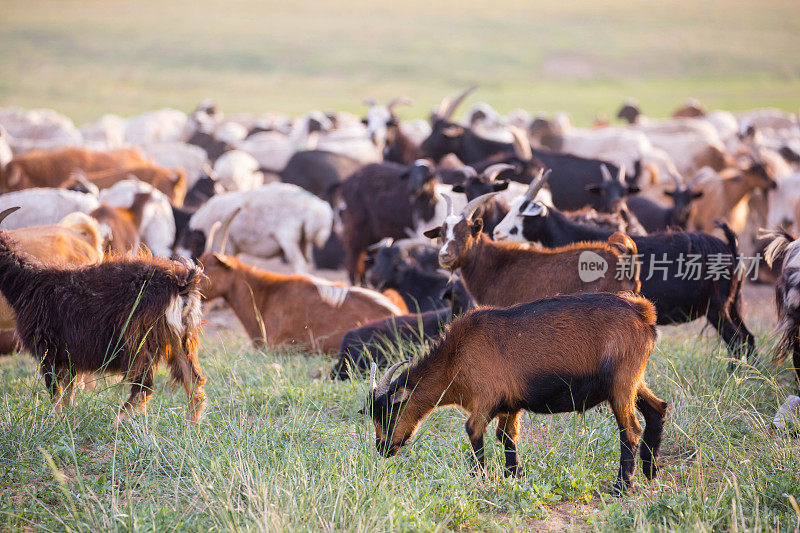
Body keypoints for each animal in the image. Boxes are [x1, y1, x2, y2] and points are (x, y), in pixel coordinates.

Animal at [0, 206, 206, 422]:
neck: (27, 283)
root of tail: (182, 284)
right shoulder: (68, 356)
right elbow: (67, 392)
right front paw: (66, 419)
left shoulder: (48, 349)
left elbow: (56, 391)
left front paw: (55, 420)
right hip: (180, 337)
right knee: (193, 381)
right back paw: (192, 423)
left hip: (138, 340)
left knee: (144, 385)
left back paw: (119, 420)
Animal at [177, 184, 332, 274]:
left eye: (193, 247)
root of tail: (319, 210)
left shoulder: (228, 242)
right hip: (303, 241)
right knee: (305, 263)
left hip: (289, 239)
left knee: (300, 264)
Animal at [366, 288, 664, 492]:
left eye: (388, 413)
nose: (382, 448)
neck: (455, 357)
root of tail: (642, 313)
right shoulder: (509, 405)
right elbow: (507, 437)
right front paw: (515, 475)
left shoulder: (485, 400)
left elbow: (473, 431)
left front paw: (480, 478)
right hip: (631, 382)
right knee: (657, 409)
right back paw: (650, 469)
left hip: (621, 384)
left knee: (630, 430)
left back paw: (622, 485)